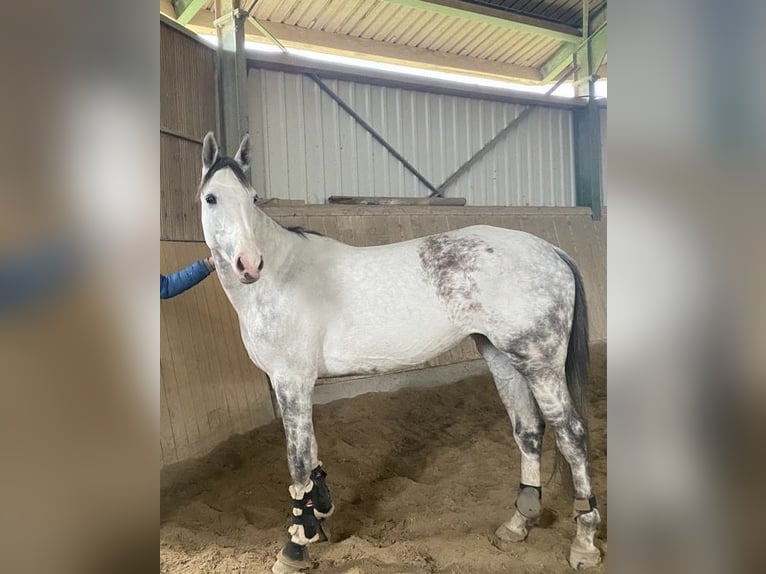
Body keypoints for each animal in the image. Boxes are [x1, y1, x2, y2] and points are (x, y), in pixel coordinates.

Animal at [197, 132, 602, 572]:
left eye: (253, 198)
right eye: (211, 198)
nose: (249, 264)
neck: (282, 276)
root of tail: (551, 251)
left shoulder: (292, 380)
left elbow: (299, 460)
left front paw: (296, 546)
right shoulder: (294, 384)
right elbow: (312, 452)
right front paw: (318, 515)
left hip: (540, 362)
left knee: (572, 434)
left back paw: (584, 542)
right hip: (503, 357)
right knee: (528, 430)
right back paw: (517, 524)